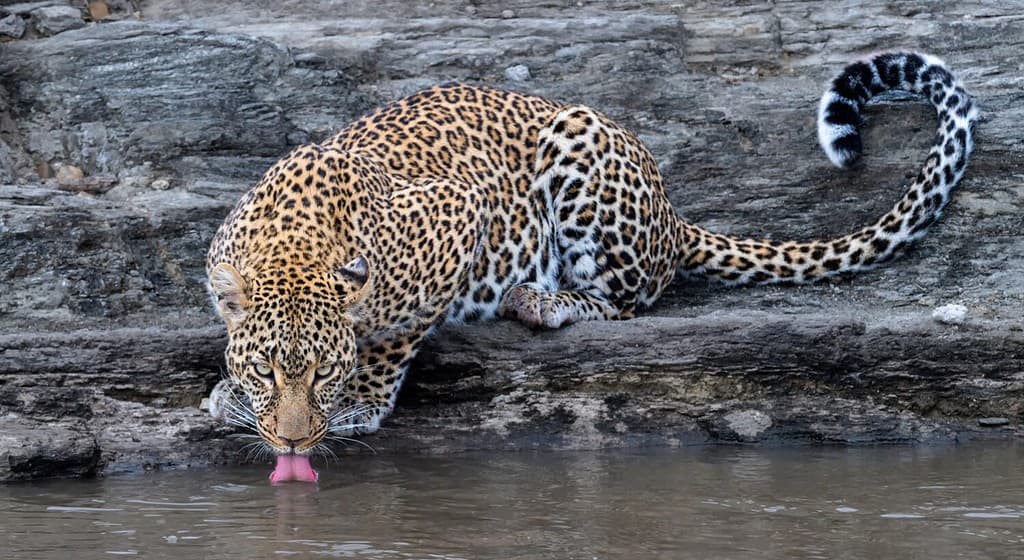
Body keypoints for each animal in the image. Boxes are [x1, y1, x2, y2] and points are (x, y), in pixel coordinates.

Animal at [205, 51, 974, 464]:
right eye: (267, 371)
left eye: (324, 372)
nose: (294, 446)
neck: (293, 244)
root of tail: (670, 212)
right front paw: (232, 396)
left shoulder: (457, 215)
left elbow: (394, 338)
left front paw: (362, 402)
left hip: (578, 142)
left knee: (626, 302)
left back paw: (542, 301)